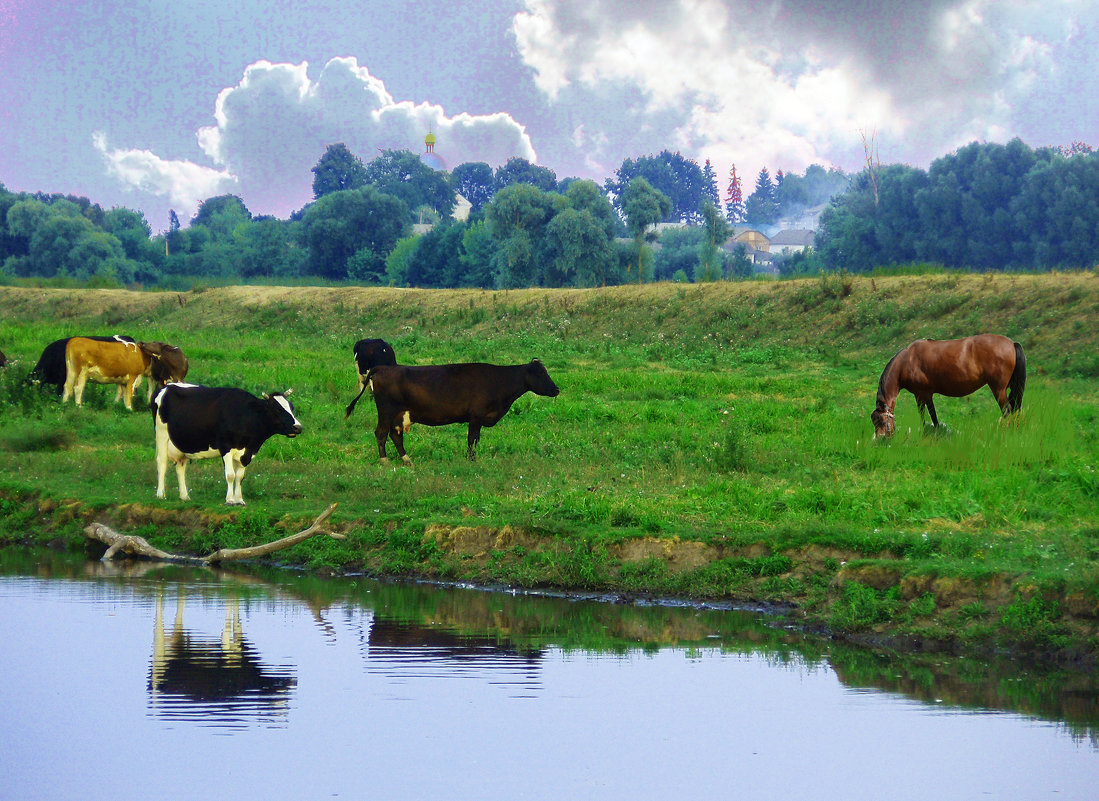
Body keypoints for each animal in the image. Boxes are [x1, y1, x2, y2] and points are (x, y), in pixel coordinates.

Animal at [152, 382, 303, 505]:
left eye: (292, 407)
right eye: (278, 409)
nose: (298, 427)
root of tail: (167, 386)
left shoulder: (248, 451)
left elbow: (240, 476)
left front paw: (239, 500)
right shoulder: (225, 446)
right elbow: (230, 475)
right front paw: (230, 500)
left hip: (182, 443)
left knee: (180, 466)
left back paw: (184, 496)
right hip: (161, 434)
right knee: (162, 463)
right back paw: (161, 495)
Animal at [367, 360, 558, 465]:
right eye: (541, 373)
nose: (557, 389)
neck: (499, 380)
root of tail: (383, 368)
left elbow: (475, 439)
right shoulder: (476, 416)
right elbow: (472, 439)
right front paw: (471, 459)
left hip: (397, 416)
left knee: (395, 436)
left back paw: (407, 460)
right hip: (386, 412)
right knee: (381, 433)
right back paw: (384, 461)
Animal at [870, 331, 1024, 437]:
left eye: (882, 421)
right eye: (874, 422)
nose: (880, 440)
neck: (907, 361)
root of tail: (1012, 344)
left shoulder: (922, 394)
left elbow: (929, 416)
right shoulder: (924, 395)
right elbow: (930, 416)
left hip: (998, 389)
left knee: (1007, 411)